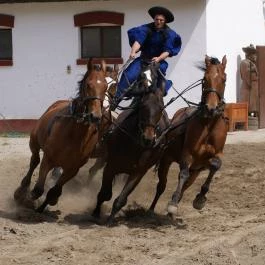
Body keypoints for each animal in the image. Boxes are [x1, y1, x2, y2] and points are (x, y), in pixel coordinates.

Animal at [13, 58, 107, 211]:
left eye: (105, 87)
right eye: (88, 84)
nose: (96, 116)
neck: (74, 133)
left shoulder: (72, 169)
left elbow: (54, 192)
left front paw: (45, 205)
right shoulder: (48, 159)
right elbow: (38, 189)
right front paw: (27, 199)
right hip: (34, 141)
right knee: (34, 161)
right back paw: (23, 188)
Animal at [91, 61, 169, 223]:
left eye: (161, 108)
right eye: (143, 106)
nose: (148, 139)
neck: (135, 144)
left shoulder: (138, 173)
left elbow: (121, 199)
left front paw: (110, 219)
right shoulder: (111, 165)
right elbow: (104, 193)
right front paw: (95, 213)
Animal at [148, 54, 227, 217]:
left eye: (224, 79)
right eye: (205, 78)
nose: (211, 108)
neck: (209, 124)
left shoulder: (210, 158)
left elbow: (215, 165)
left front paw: (200, 198)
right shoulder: (187, 154)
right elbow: (182, 173)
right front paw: (172, 203)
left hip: (195, 170)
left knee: (185, 185)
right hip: (166, 159)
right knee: (162, 186)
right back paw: (153, 209)